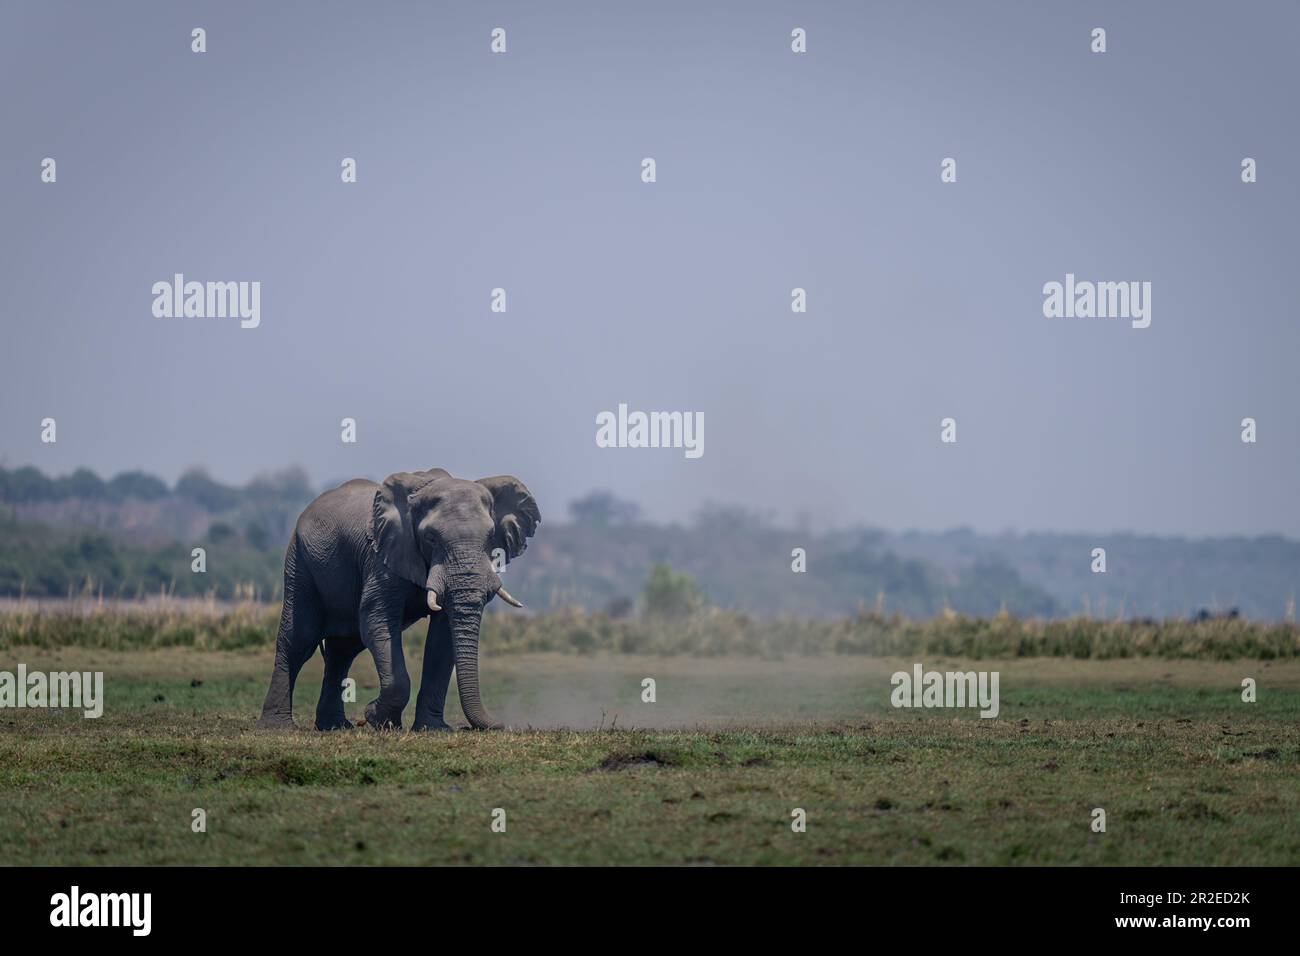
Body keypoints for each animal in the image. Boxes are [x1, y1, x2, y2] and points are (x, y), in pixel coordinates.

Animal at [256, 468, 540, 731]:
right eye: (430, 538)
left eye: (490, 536)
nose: (500, 724)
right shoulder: (381, 556)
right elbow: (376, 621)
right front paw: (376, 718)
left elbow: (442, 638)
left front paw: (431, 729)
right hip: (300, 562)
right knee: (299, 640)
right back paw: (277, 727)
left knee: (344, 649)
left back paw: (334, 726)